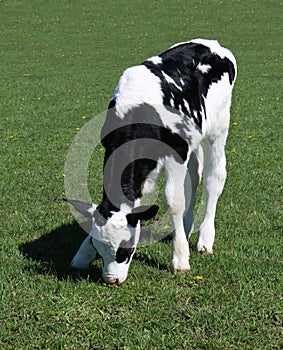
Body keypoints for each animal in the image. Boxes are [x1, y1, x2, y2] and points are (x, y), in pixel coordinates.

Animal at [69, 38, 237, 284]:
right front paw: (82, 254)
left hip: (219, 127)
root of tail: (212, 44)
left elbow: (174, 201)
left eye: (126, 249)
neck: (137, 110)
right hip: (194, 136)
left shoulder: (176, 152)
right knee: (194, 177)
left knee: (214, 179)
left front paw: (180, 259)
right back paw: (187, 228)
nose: (111, 280)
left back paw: (205, 239)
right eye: (98, 246)